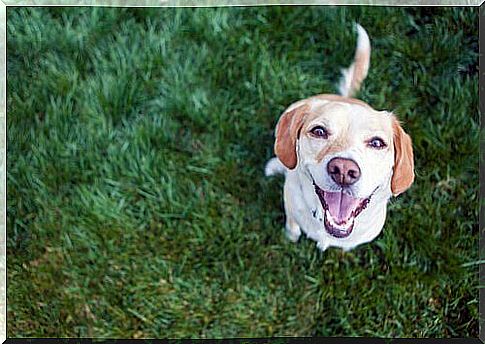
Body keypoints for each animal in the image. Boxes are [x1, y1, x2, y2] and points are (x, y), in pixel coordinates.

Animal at [264, 23, 412, 250]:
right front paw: (290, 237)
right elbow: (292, 227)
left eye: (377, 143)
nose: (343, 170)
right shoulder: (290, 205)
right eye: (319, 131)